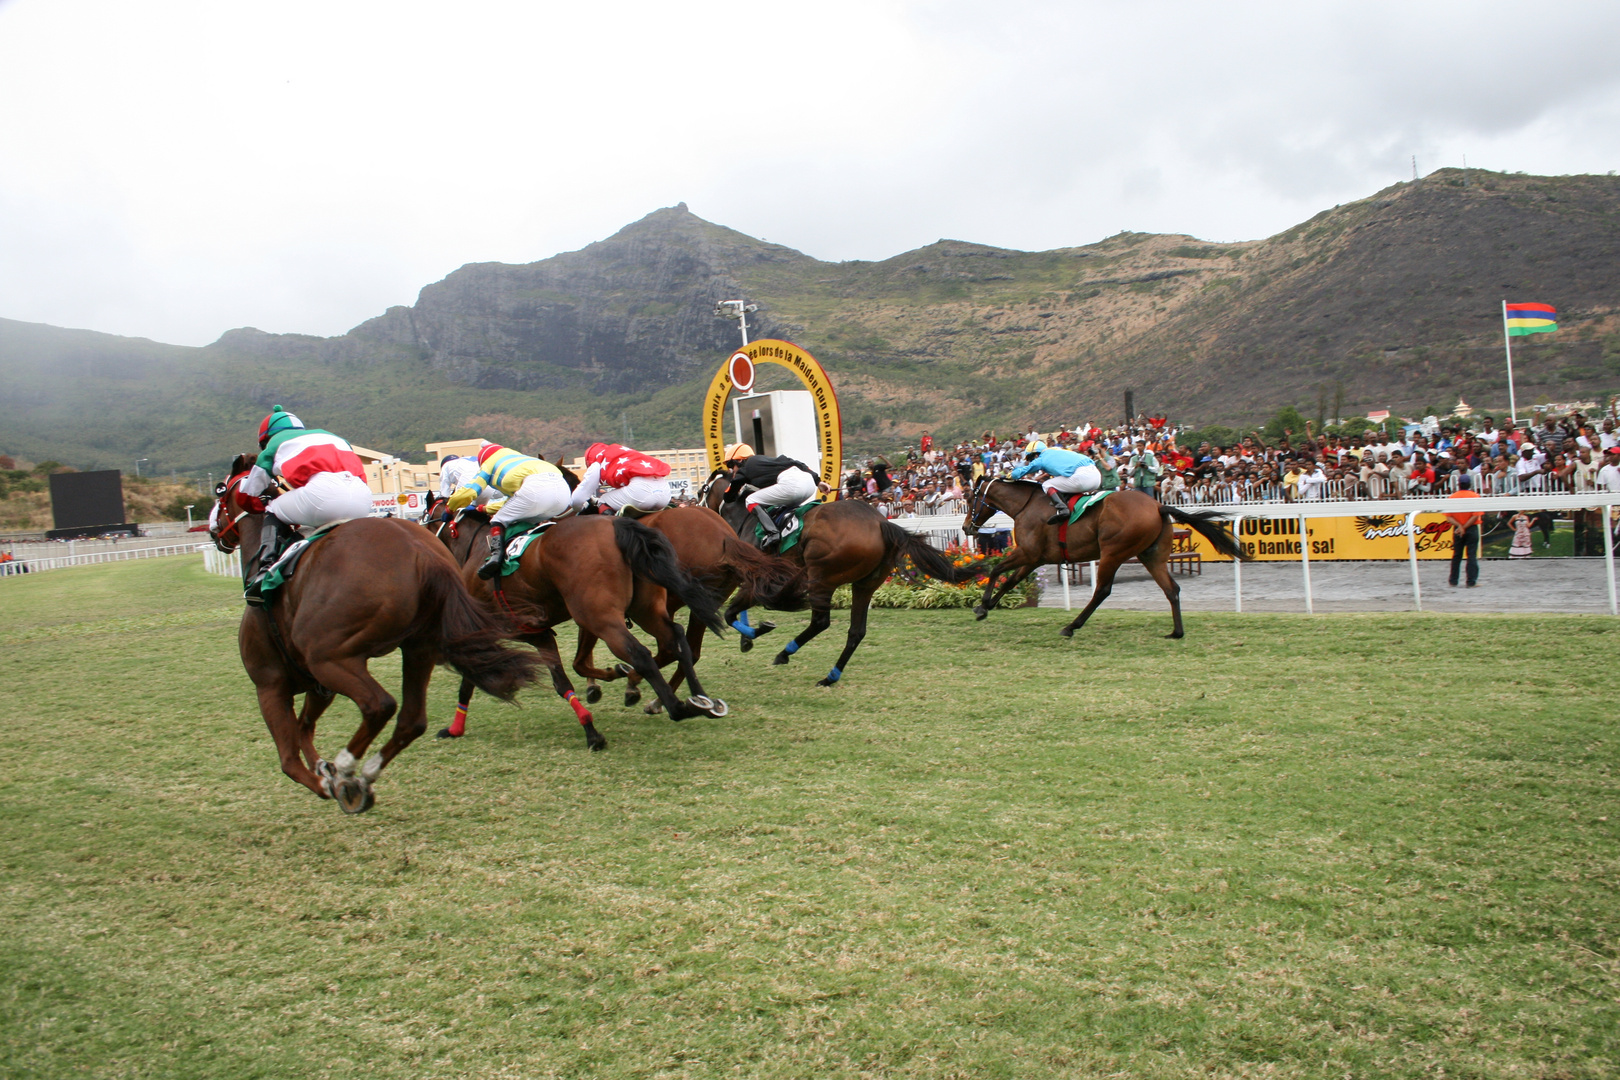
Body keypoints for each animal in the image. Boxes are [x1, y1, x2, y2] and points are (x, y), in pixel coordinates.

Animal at [205, 453, 537, 816]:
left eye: (221, 491)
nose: (213, 530)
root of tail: (422, 553)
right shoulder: (318, 687)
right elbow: (305, 729)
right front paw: (324, 768)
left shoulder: (270, 684)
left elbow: (289, 759)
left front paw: (327, 781)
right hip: (417, 650)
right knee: (411, 719)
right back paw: (364, 774)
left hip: (330, 658)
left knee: (379, 705)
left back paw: (347, 773)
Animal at [427, 501, 725, 748]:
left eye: (429, 519)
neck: (479, 549)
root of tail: (618, 525)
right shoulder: (541, 635)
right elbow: (567, 676)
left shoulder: (509, 631)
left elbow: (470, 681)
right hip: (644, 609)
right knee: (676, 640)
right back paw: (702, 699)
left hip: (600, 616)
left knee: (641, 654)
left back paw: (678, 707)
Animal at [699, 469, 978, 689]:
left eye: (703, 490)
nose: (697, 509)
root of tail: (880, 523)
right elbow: (735, 610)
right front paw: (746, 640)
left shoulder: (760, 578)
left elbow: (731, 613)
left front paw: (757, 631)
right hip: (865, 584)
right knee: (856, 632)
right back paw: (831, 676)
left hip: (821, 577)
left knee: (821, 622)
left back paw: (785, 653)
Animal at [959, 476, 1250, 637]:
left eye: (970, 497)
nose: (965, 527)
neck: (1026, 505)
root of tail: (1158, 505)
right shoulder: (1036, 558)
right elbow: (1010, 581)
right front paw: (987, 606)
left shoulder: (1028, 552)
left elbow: (997, 570)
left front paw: (982, 605)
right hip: (1151, 555)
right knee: (1172, 589)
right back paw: (1176, 632)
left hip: (1112, 552)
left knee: (1102, 591)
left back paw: (1071, 626)